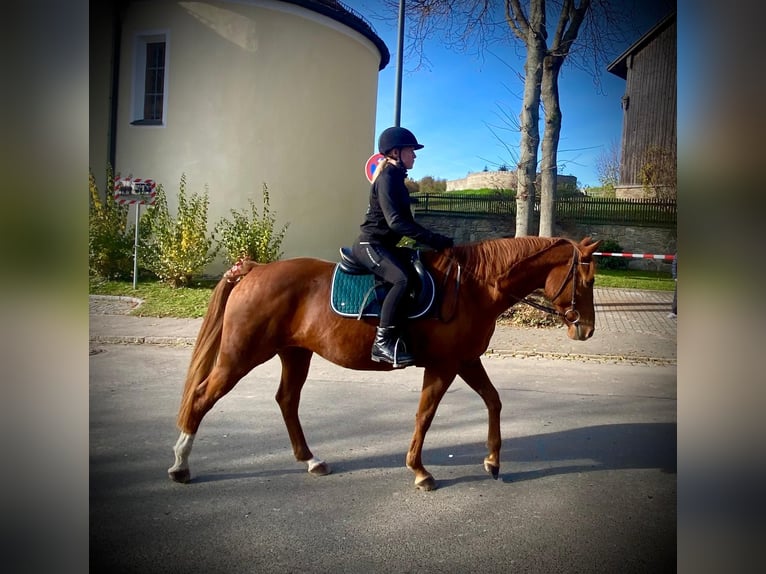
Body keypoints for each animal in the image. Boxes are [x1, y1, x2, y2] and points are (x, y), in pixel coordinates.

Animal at [171, 236, 604, 492]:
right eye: (588, 280)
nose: (586, 329)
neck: (472, 287)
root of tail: (255, 269)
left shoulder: (465, 360)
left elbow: (494, 401)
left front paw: (493, 462)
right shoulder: (445, 366)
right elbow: (425, 414)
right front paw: (420, 471)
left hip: (295, 353)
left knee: (287, 401)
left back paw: (311, 460)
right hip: (240, 356)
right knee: (202, 397)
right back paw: (180, 464)